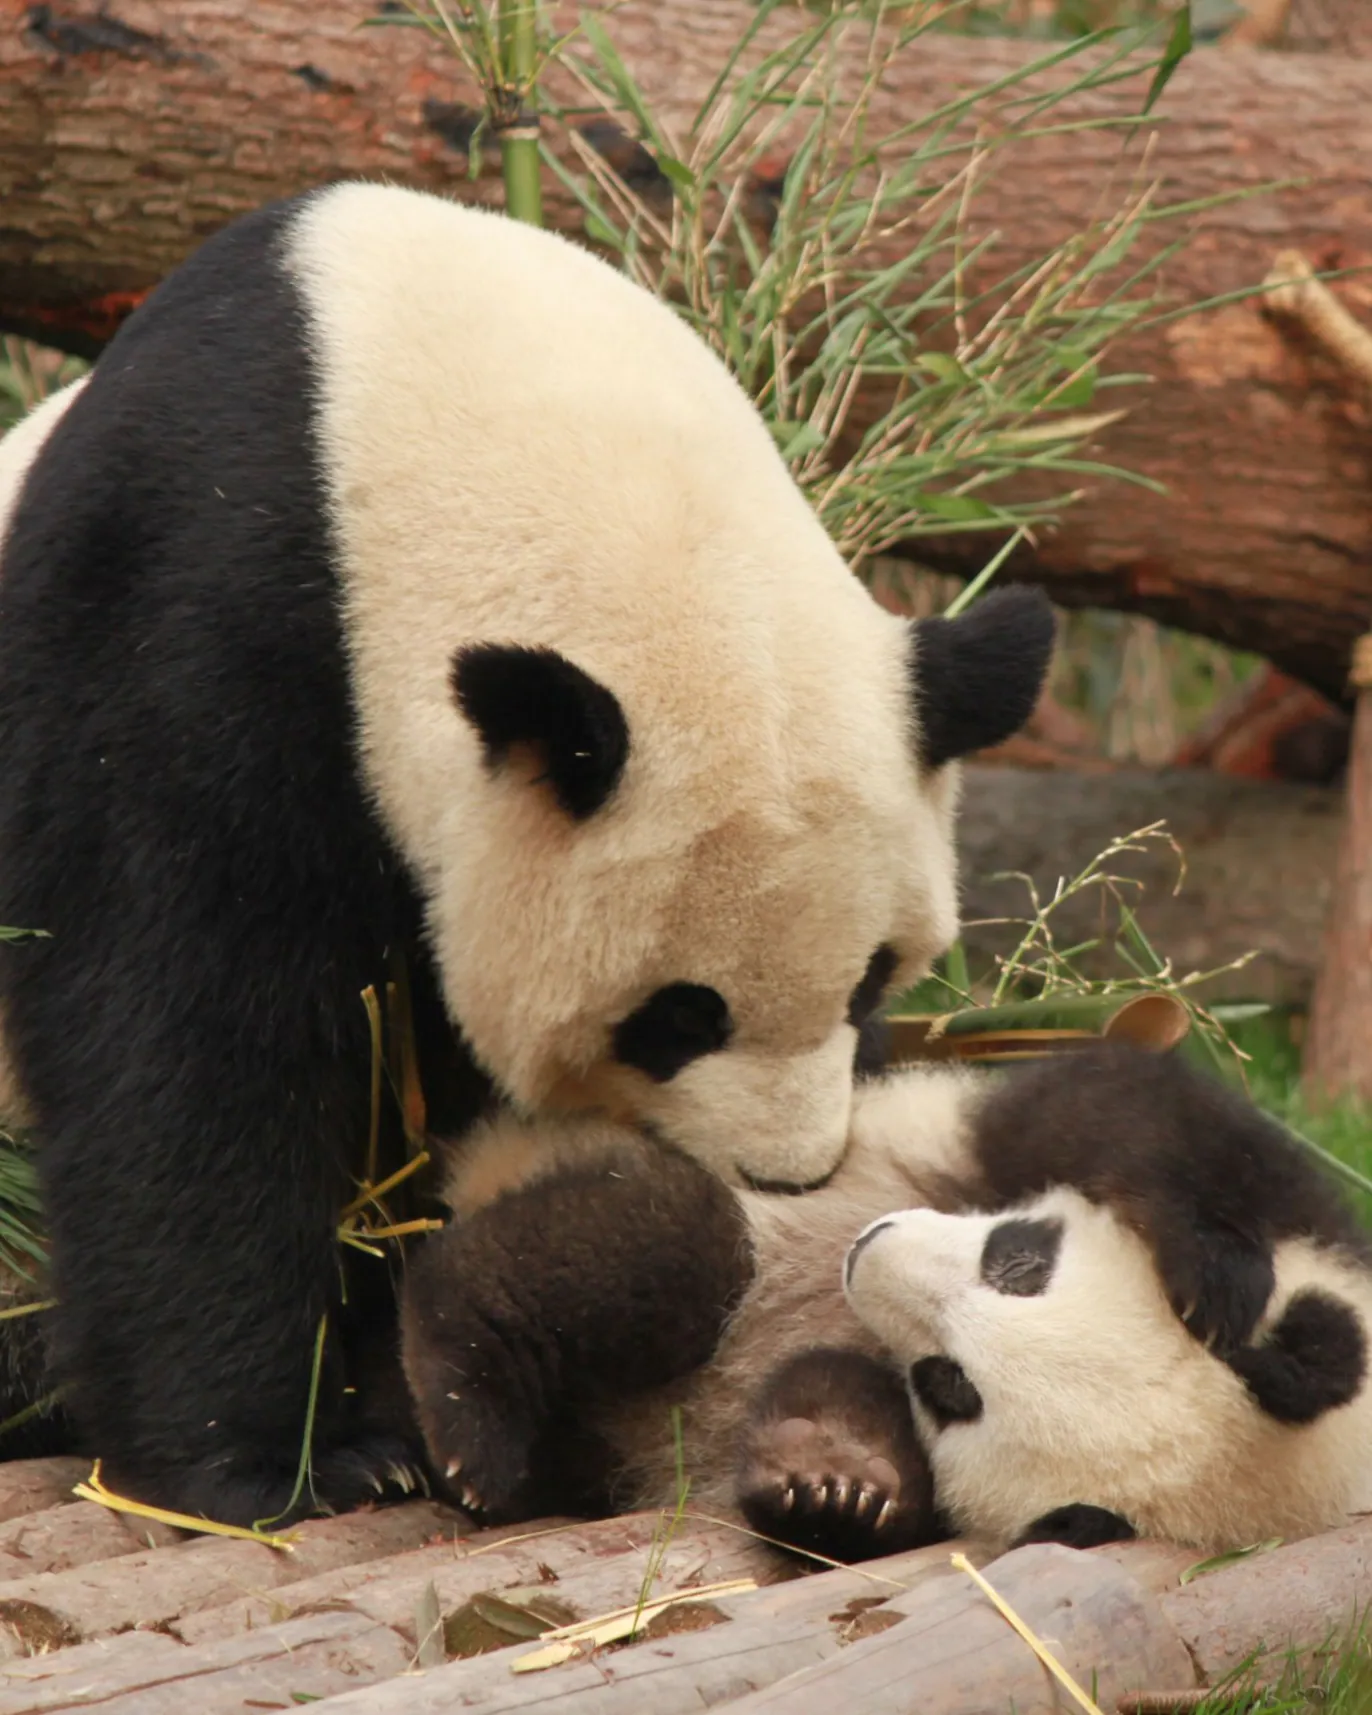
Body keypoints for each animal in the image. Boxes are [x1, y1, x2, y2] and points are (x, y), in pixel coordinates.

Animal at [0, 181, 1054, 1526]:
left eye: (871, 977)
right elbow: (179, 1024)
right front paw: (276, 1460)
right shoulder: (192, 595)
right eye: (677, 1014)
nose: (788, 1173)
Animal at [400, 1041, 1372, 1561]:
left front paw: (832, 1481)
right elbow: (1128, 1112)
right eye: (1021, 1261)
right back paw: (464, 1407)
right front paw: (1212, 1268)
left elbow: (843, 1408)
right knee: (668, 1248)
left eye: (952, 1386)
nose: (868, 1253)